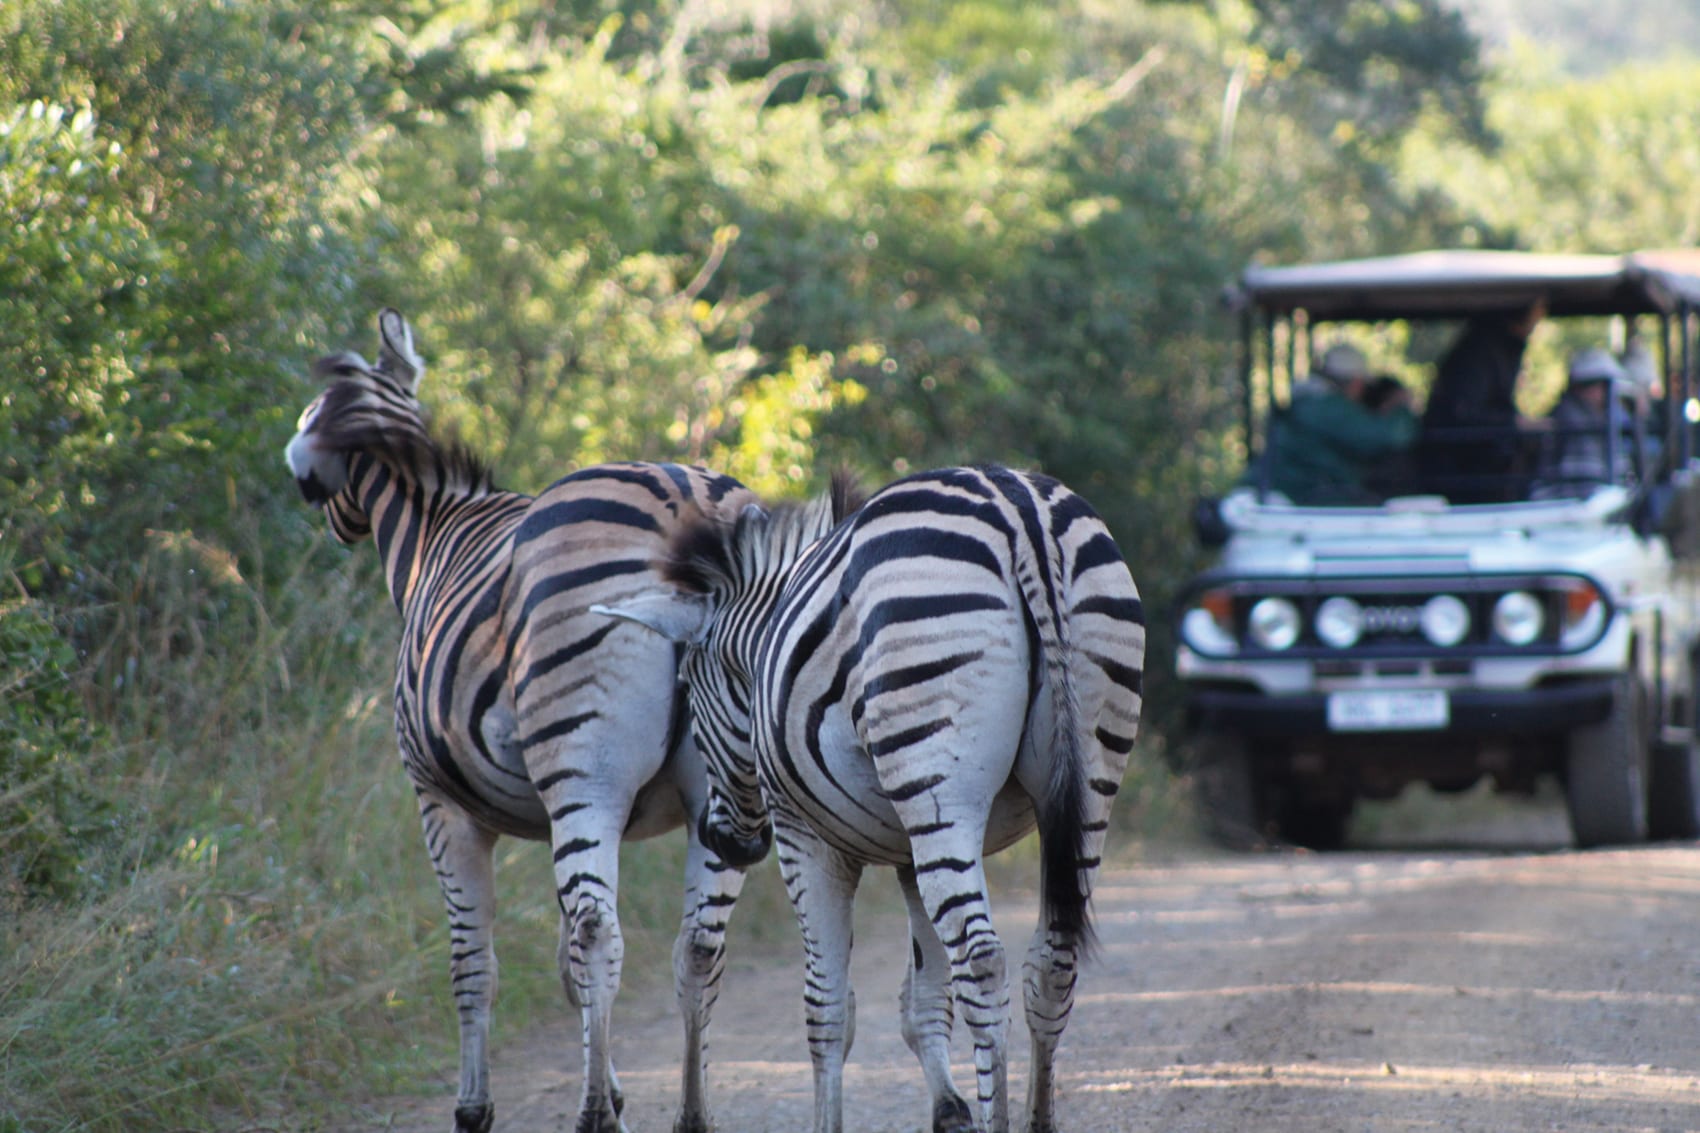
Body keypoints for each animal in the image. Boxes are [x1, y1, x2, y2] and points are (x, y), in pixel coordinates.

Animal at [283, 309, 756, 1133]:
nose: (334, 525)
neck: (435, 528)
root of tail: (685, 491)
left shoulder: (441, 804)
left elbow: (474, 962)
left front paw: (477, 1106)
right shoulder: (562, 811)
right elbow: (565, 968)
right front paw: (619, 1087)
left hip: (585, 769)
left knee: (600, 933)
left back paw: (592, 1117)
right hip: (717, 790)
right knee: (696, 946)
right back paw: (689, 1116)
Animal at [598, 465, 1146, 1133]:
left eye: (684, 684)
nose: (727, 841)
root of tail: (1023, 516)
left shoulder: (805, 838)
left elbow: (829, 1007)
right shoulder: (911, 854)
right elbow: (925, 996)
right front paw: (949, 1111)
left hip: (940, 778)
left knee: (983, 962)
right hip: (1090, 778)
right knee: (1051, 961)